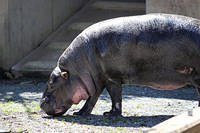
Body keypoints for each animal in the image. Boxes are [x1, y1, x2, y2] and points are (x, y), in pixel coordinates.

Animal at [40, 13, 200, 116]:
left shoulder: (109, 78)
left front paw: (107, 114)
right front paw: (82, 113)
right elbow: (98, 99)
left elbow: (109, 97)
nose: (40, 104)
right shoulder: (101, 80)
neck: (76, 69)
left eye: (51, 84)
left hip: (197, 77)